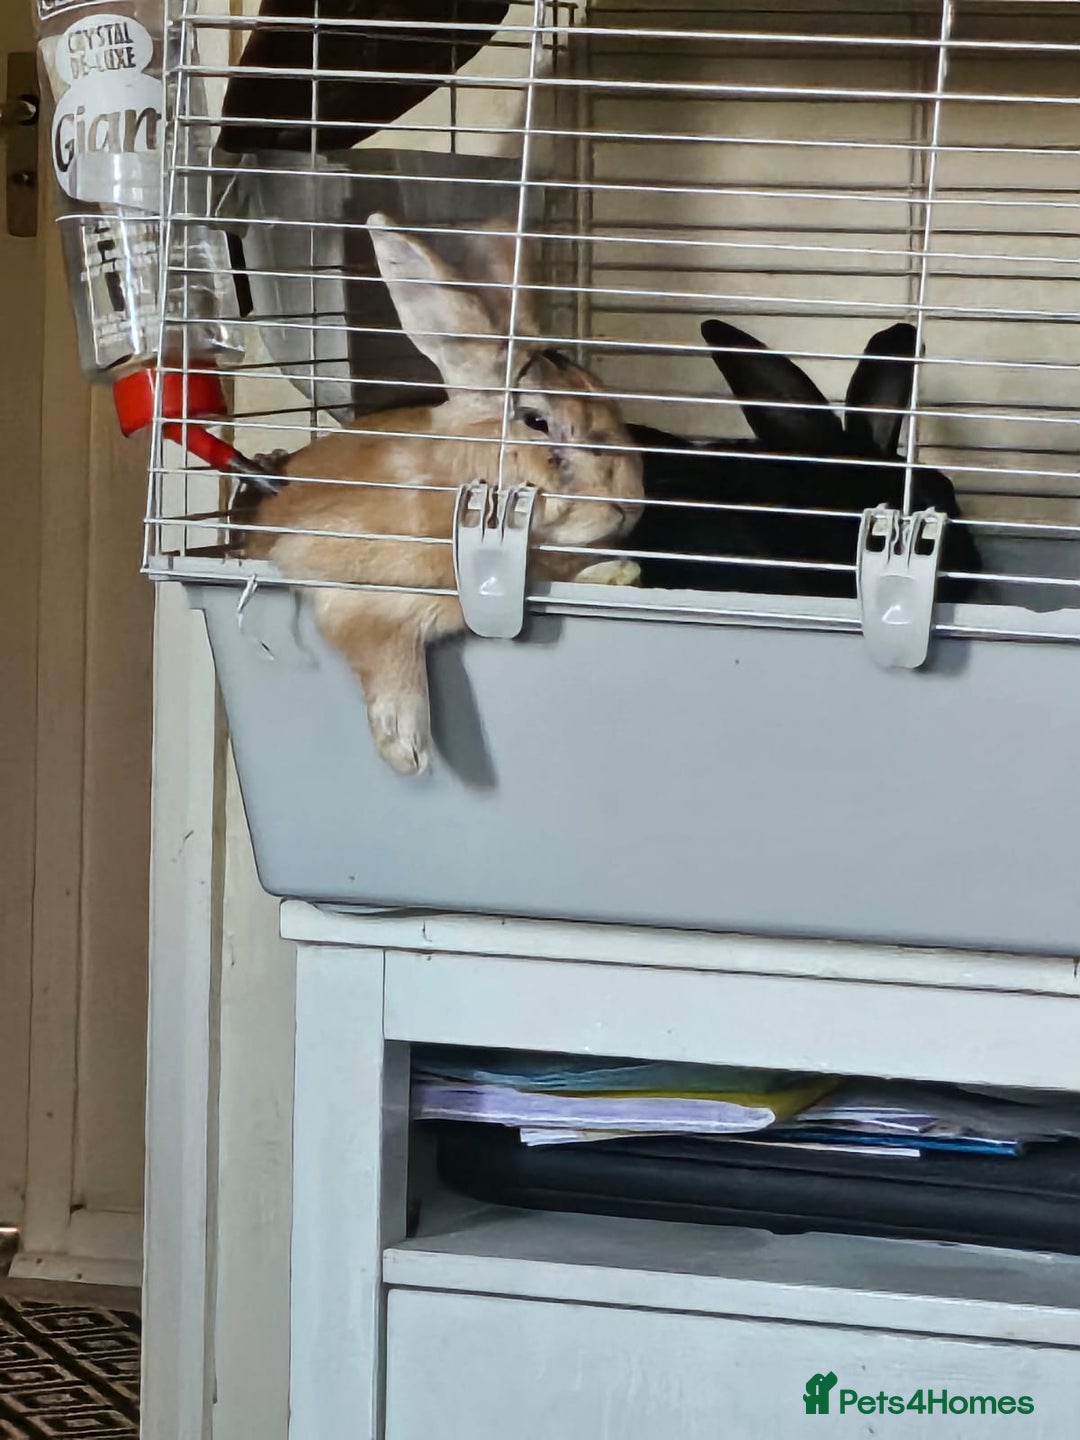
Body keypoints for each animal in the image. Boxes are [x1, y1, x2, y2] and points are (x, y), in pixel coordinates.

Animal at [245, 214, 644, 776]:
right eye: (537, 421)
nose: (630, 503)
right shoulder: (353, 589)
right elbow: (387, 658)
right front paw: (407, 752)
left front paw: (619, 571)